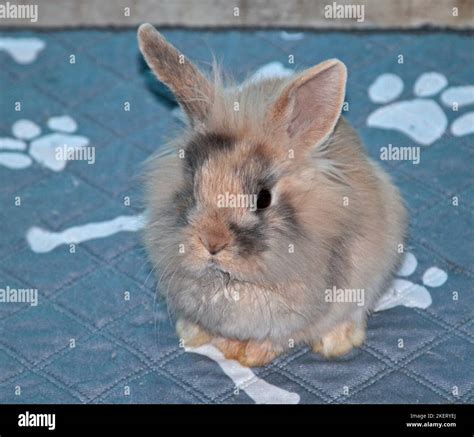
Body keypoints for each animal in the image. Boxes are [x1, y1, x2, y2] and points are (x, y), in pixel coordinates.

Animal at [137, 23, 408, 364]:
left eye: (263, 198)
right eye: (193, 188)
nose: (212, 243)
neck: (234, 281)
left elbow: (280, 337)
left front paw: (251, 355)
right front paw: (204, 338)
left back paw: (338, 341)